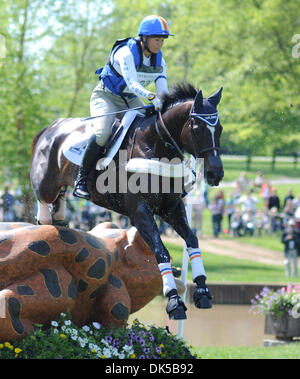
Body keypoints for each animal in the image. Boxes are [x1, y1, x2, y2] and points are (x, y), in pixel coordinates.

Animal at [30, 84, 224, 320]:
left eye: (220, 129)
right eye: (196, 129)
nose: (216, 174)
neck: (155, 144)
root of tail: (50, 128)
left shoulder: (171, 208)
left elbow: (192, 240)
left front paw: (202, 291)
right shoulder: (140, 212)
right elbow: (160, 250)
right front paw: (174, 301)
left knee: (59, 206)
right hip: (46, 184)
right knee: (43, 206)